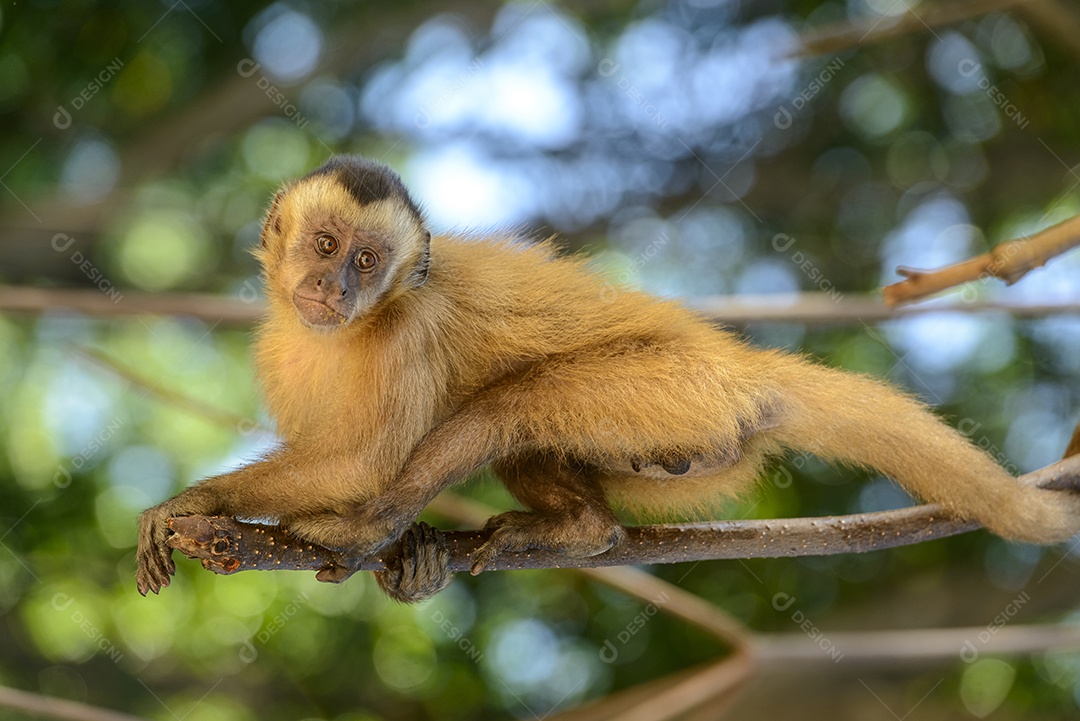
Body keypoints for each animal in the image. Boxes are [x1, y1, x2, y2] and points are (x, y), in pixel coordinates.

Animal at [135, 156, 1080, 604]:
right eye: (326, 246)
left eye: (369, 261)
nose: (334, 287)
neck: (349, 327)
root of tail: (740, 363)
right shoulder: (277, 347)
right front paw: (414, 561)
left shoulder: (407, 330)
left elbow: (359, 461)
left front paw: (196, 507)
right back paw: (577, 529)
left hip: (671, 390)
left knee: (512, 405)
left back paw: (375, 525)